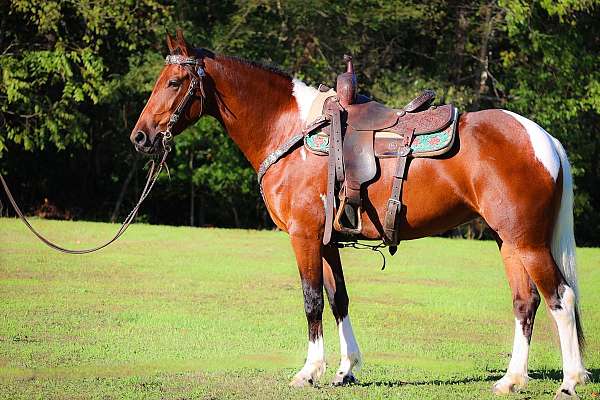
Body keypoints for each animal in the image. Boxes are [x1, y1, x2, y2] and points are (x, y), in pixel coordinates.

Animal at [130, 30, 584, 396]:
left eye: (174, 82)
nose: (140, 137)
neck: (292, 131)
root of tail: (543, 138)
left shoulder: (303, 236)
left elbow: (312, 299)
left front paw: (309, 371)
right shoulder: (327, 240)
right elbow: (339, 299)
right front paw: (346, 369)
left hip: (527, 241)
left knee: (560, 298)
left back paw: (570, 381)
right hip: (508, 240)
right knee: (526, 302)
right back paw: (511, 380)